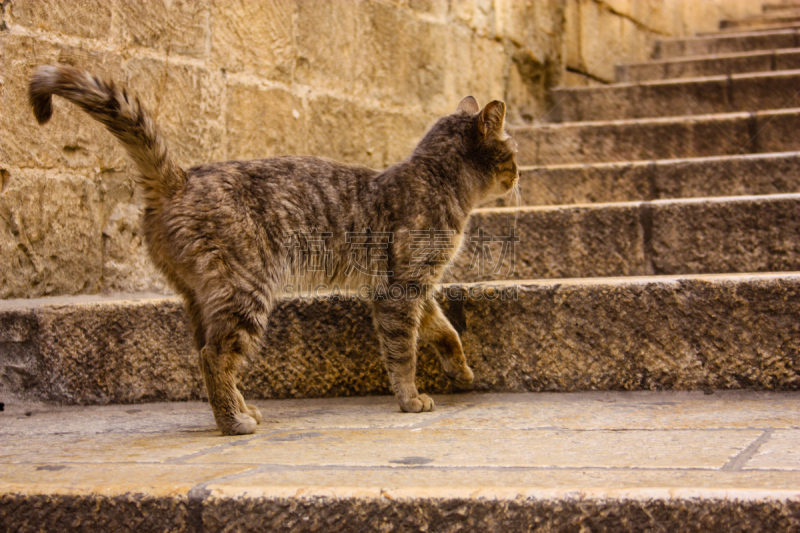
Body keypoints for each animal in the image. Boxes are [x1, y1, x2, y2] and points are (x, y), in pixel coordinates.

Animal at [26, 64, 520, 434]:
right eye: (513, 152)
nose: (519, 175)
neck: (438, 181)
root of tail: (180, 178)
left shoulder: (416, 288)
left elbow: (444, 331)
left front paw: (461, 371)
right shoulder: (399, 291)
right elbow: (403, 352)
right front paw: (410, 398)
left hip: (204, 300)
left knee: (209, 356)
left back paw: (243, 410)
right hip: (246, 291)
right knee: (214, 357)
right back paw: (234, 423)